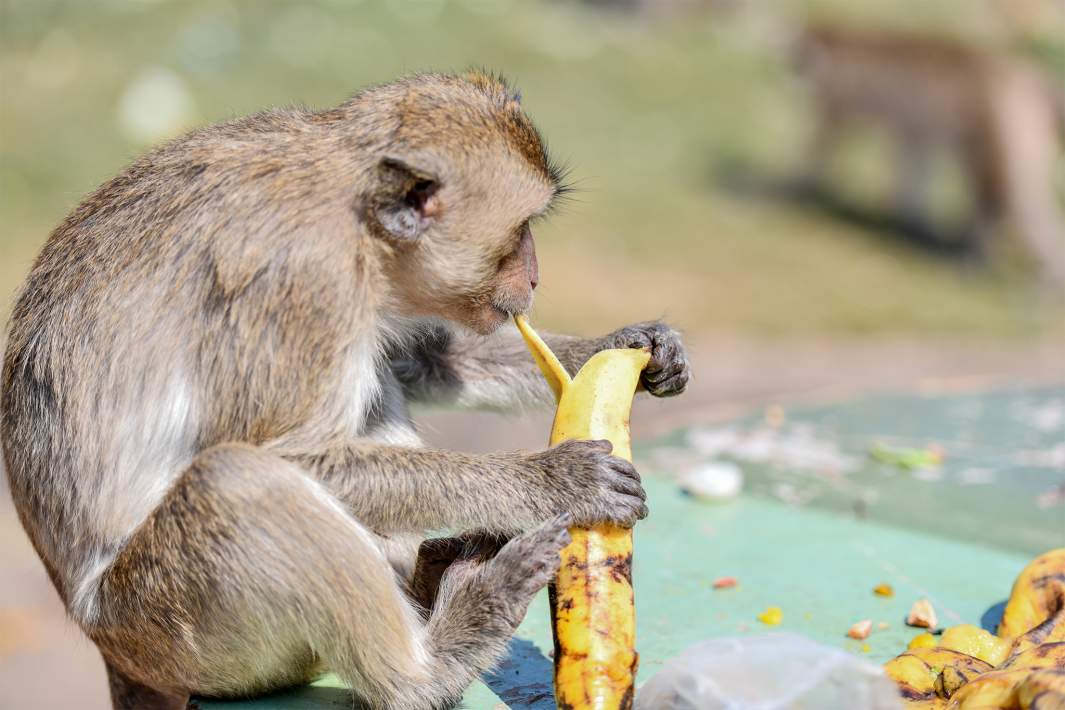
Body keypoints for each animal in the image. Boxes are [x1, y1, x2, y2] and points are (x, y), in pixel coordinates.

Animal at [0, 71, 690, 710]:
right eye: (521, 227)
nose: (536, 274)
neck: (355, 214)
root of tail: (111, 648)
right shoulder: (305, 281)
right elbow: (290, 456)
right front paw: (554, 480)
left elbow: (418, 358)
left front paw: (628, 346)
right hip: (166, 630)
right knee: (239, 482)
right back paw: (435, 662)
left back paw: (429, 576)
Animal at [794, 23, 1065, 284]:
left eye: (799, 61)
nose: (795, 77)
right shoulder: (904, 121)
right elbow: (913, 155)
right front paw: (913, 222)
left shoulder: (845, 93)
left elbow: (829, 138)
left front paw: (802, 184)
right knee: (989, 191)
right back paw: (975, 250)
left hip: (1007, 122)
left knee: (1019, 199)